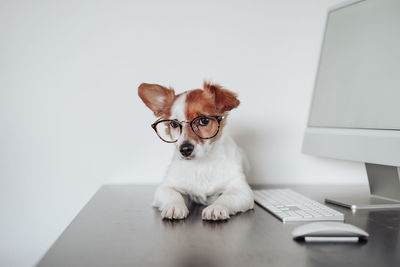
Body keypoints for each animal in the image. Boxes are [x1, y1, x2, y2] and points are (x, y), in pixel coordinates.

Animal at [138, 81, 253, 222]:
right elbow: (173, 195)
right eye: (174, 124)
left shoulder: (242, 191)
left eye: (204, 120)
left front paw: (217, 207)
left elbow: (226, 197)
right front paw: (174, 206)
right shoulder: (165, 187)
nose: (185, 149)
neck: (201, 165)